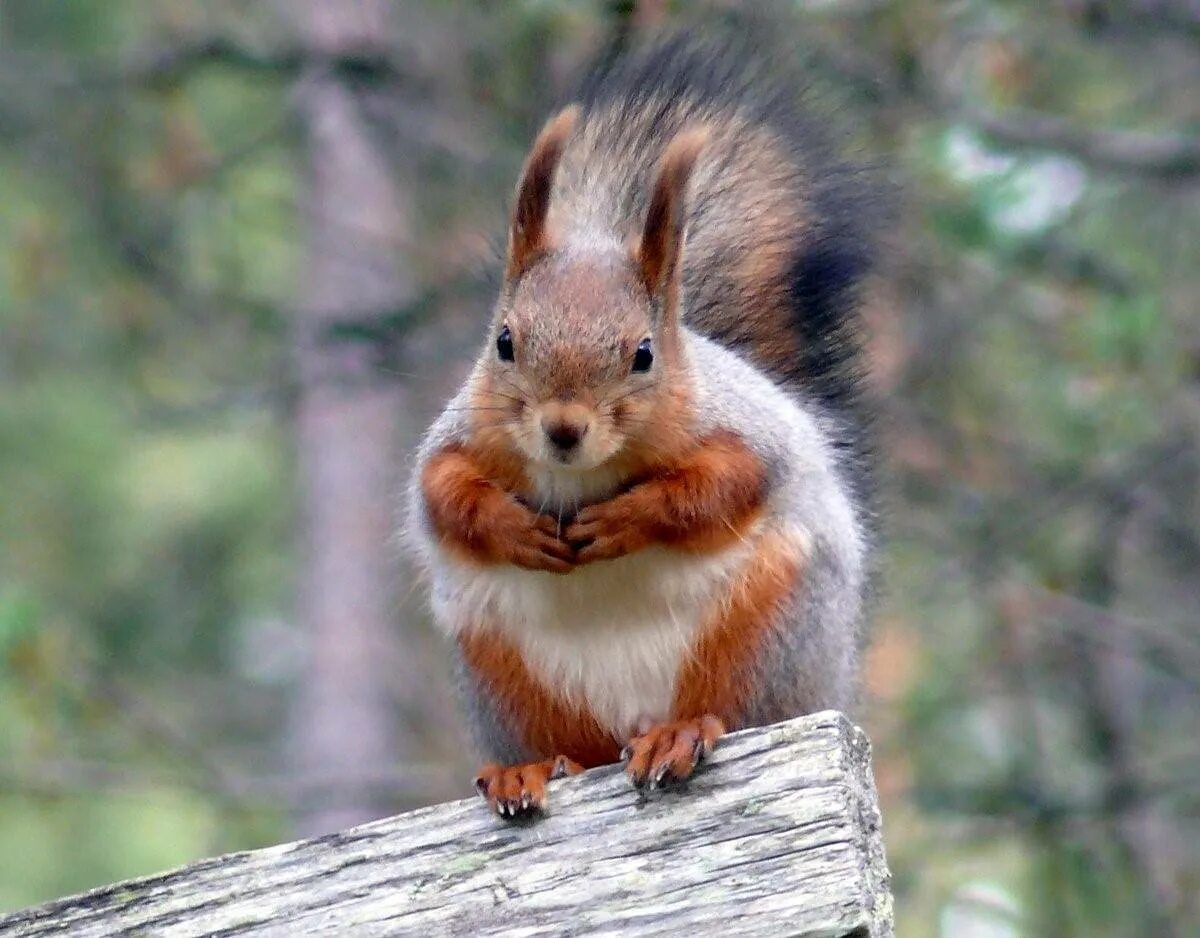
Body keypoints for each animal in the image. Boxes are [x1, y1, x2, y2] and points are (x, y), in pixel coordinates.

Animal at [408, 32, 878, 820]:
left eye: (644, 354)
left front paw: (630, 517)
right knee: (567, 744)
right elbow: (441, 495)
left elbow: (724, 485)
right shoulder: (461, 435)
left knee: (727, 708)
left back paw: (679, 734)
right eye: (504, 342)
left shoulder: (743, 429)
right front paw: (513, 528)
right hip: (503, 668)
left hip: (763, 632)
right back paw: (527, 770)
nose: (563, 429)